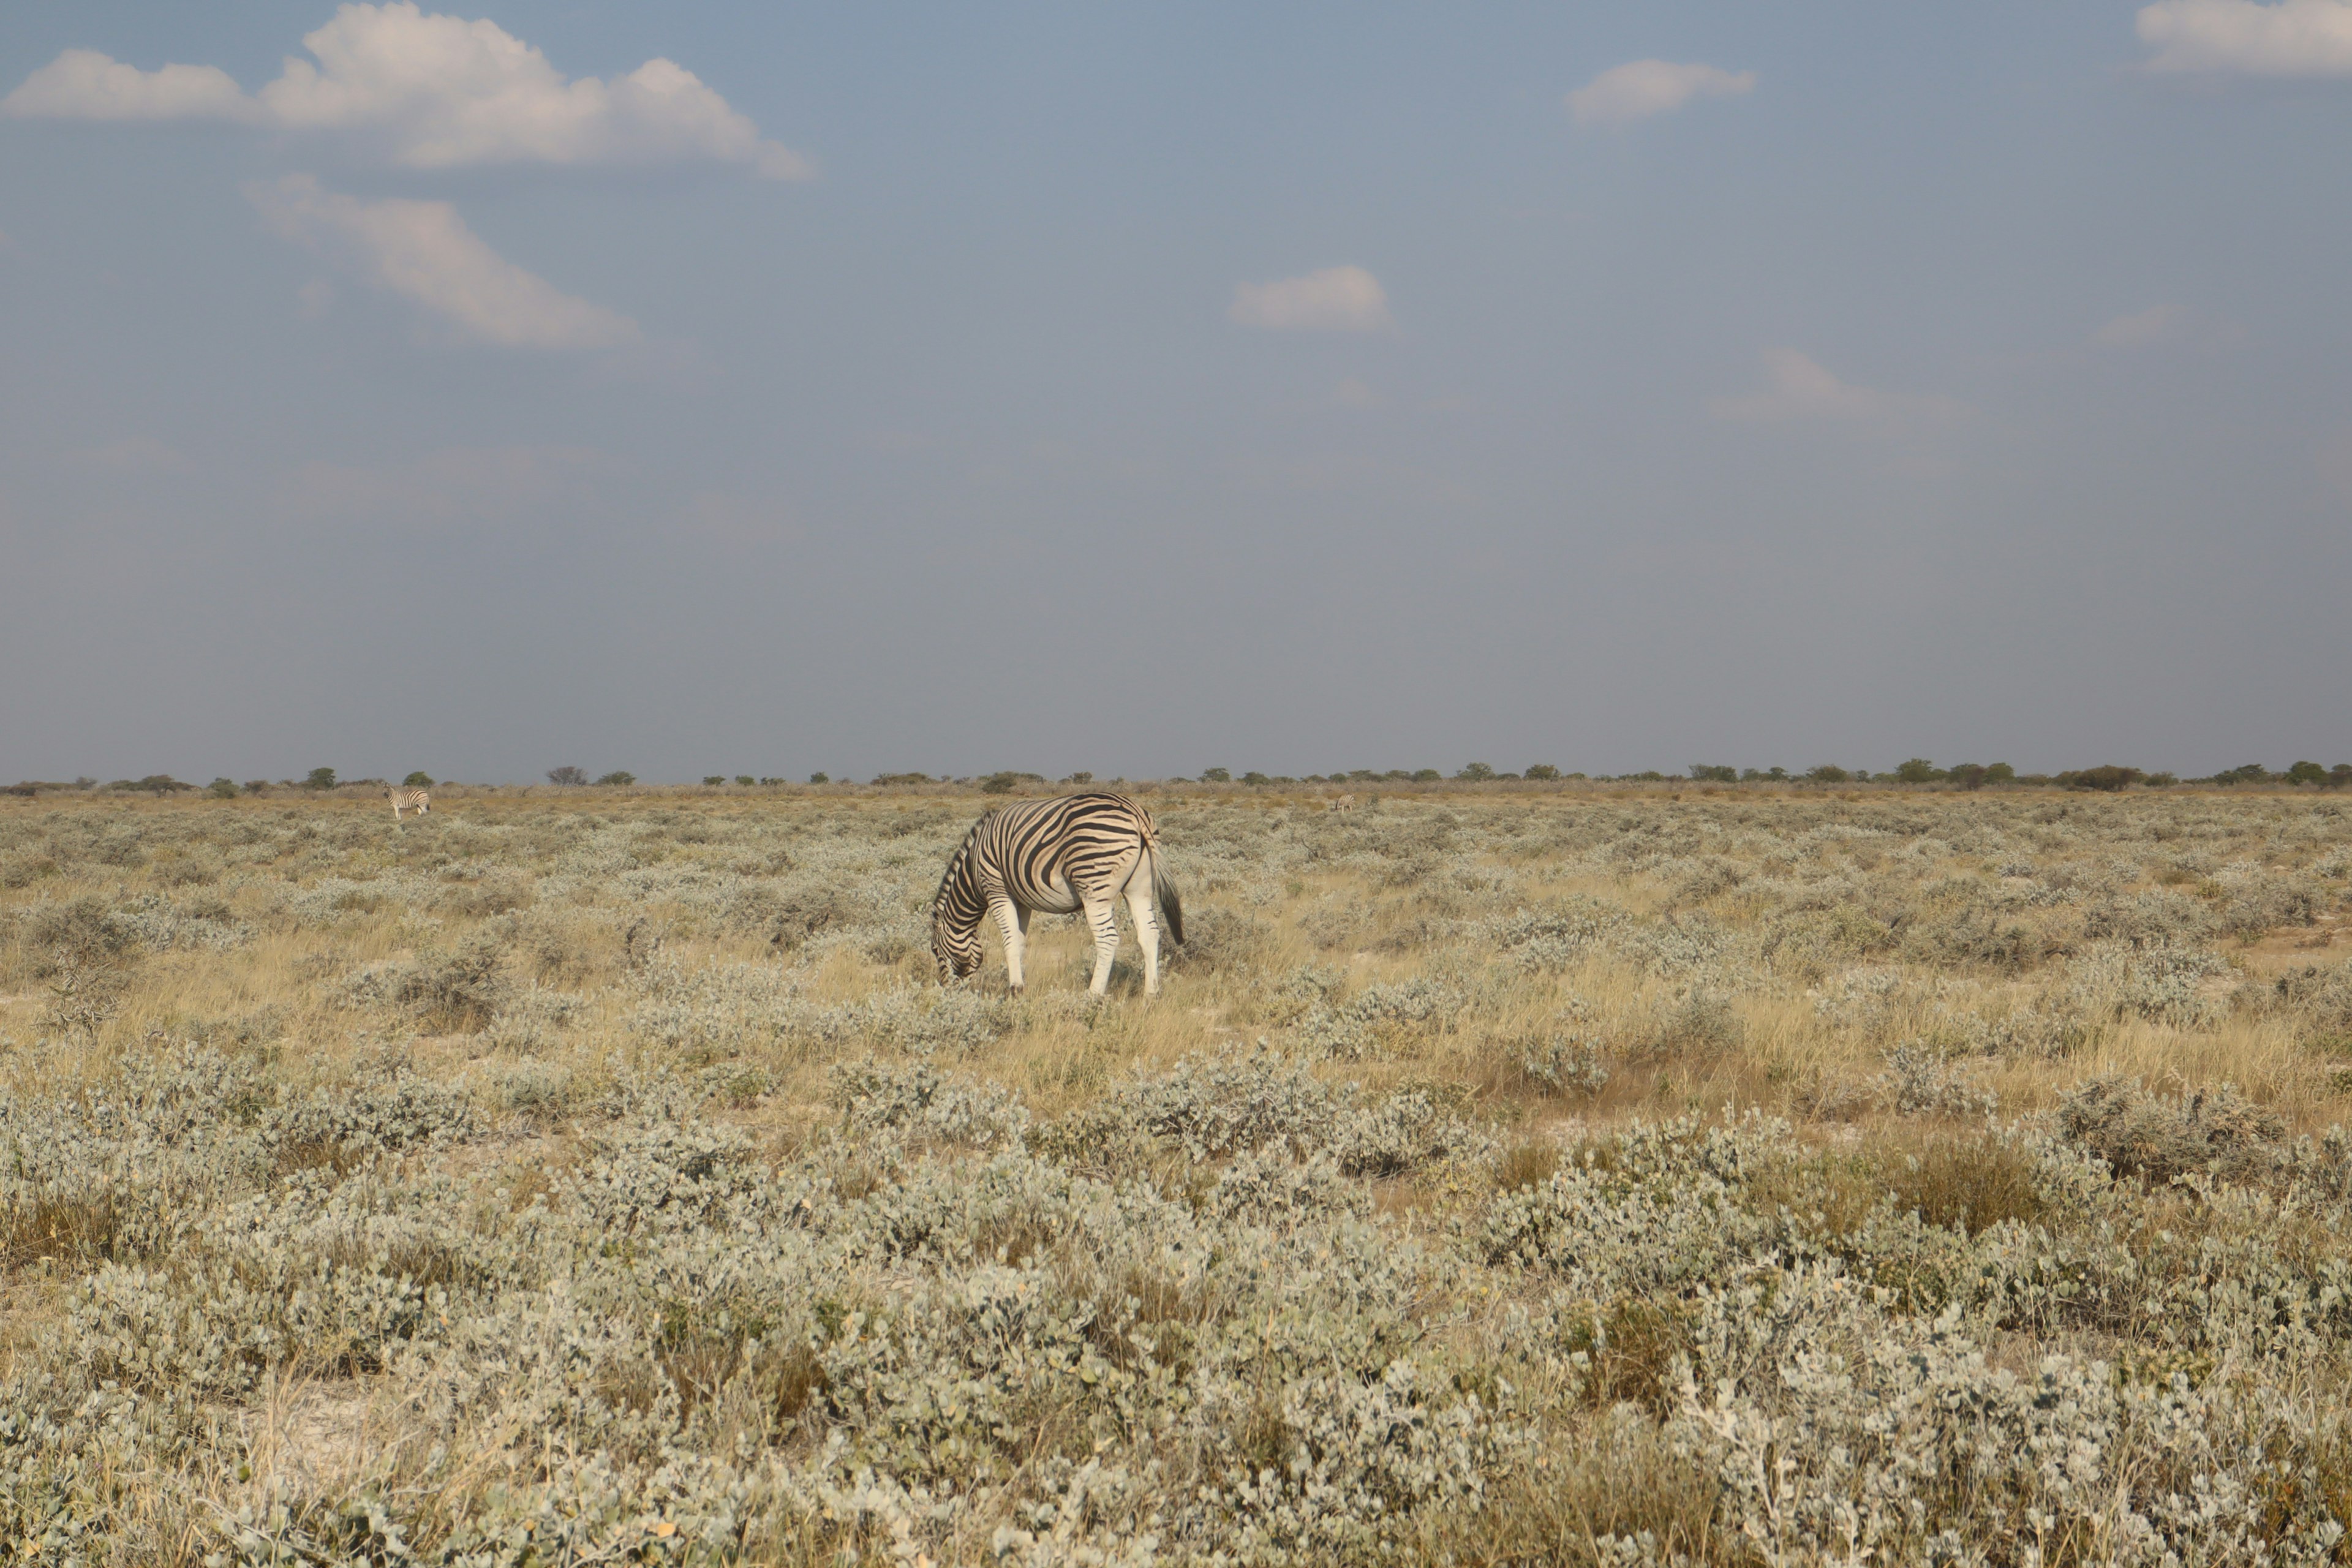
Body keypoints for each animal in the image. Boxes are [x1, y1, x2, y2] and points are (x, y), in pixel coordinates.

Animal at [931, 790, 1185, 1001]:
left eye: (935, 951)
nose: (945, 989)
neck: (973, 871)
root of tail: (1134, 811)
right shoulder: (1021, 900)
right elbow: (1019, 941)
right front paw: (1021, 983)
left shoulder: (997, 890)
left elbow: (1009, 940)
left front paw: (1015, 989)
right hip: (1140, 887)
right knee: (1150, 934)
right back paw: (1151, 994)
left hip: (1094, 884)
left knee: (1108, 938)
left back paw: (1093, 995)